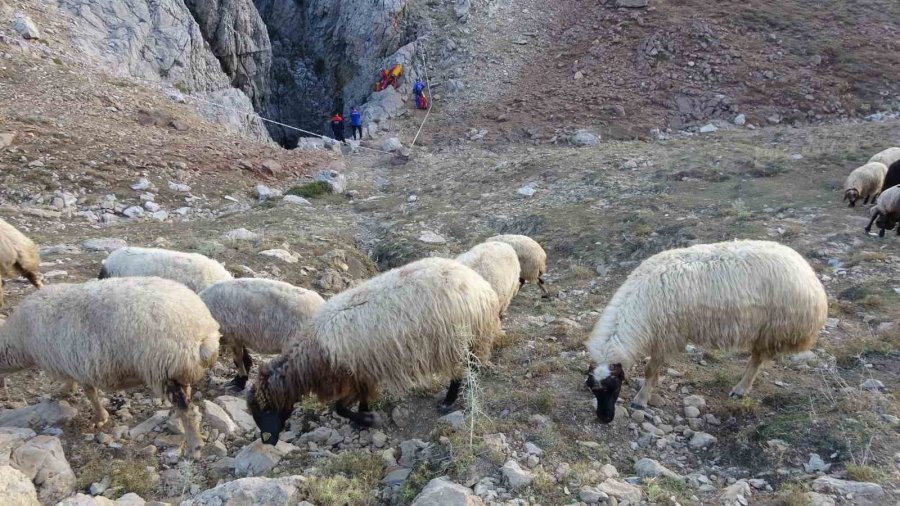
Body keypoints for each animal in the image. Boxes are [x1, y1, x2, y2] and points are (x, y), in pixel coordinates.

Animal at [0, 276, 221, 458]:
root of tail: (203, 329)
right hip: (179, 369)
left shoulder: (76, 365)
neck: (18, 342)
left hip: (164, 368)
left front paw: (99, 417)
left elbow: (90, 394)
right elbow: (78, 386)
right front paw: (65, 392)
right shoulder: (72, 362)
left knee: (188, 411)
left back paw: (194, 447)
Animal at [246, 256, 500, 442]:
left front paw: (369, 420)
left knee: (466, 367)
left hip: (457, 339)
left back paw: (451, 400)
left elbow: (339, 408)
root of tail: (481, 286)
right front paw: (365, 416)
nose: (268, 440)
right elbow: (358, 401)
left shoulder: (350, 374)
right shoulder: (363, 372)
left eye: (265, 410)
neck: (314, 354)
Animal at [588, 239, 828, 422]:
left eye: (614, 388)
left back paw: (740, 389)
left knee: (757, 358)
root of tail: (806, 270)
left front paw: (641, 400)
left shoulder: (667, 335)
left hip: (772, 327)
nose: (604, 419)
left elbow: (650, 370)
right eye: (593, 389)